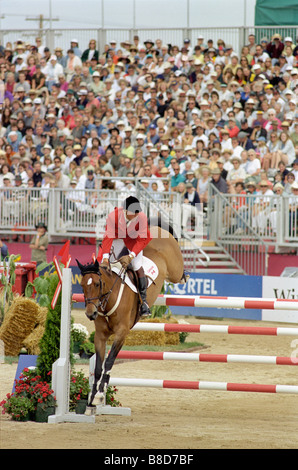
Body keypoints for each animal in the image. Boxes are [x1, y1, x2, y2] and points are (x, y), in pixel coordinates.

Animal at [75, 226, 185, 410]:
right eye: (82, 285)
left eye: (97, 284)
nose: (91, 314)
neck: (109, 299)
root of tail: (157, 229)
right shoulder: (100, 336)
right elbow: (98, 366)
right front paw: (91, 400)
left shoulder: (121, 332)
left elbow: (109, 361)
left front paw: (100, 394)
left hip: (175, 270)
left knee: (179, 273)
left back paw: (186, 275)